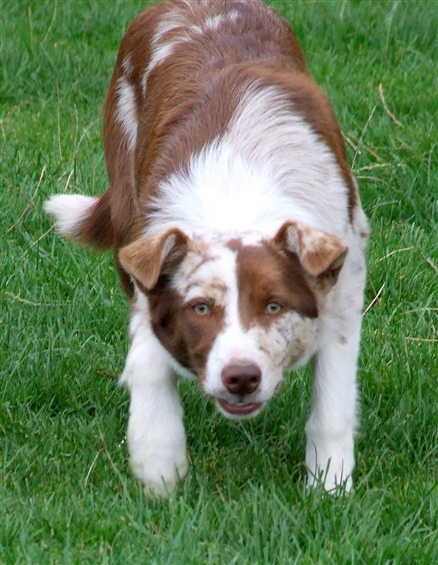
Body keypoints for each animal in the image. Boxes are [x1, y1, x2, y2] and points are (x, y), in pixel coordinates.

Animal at [45, 0, 368, 497]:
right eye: (200, 308)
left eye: (274, 306)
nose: (241, 378)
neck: (235, 199)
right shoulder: (148, 264)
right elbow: (148, 364)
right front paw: (159, 471)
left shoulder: (344, 278)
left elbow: (332, 398)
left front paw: (329, 487)